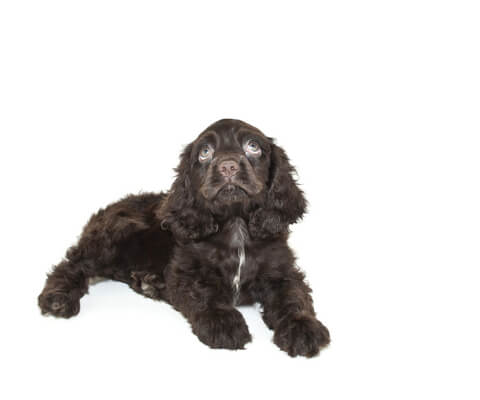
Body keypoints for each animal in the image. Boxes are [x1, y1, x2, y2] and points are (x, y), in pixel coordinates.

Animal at [39, 118, 330, 356]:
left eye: (253, 146)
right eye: (205, 152)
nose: (228, 166)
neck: (236, 224)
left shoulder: (283, 271)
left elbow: (294, 297)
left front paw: (303, 328)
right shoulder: (185, 271)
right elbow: (205, 294)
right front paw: (224, 323)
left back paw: (148, 282)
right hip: (117, 234)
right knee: (73, 265)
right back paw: (58, 298)